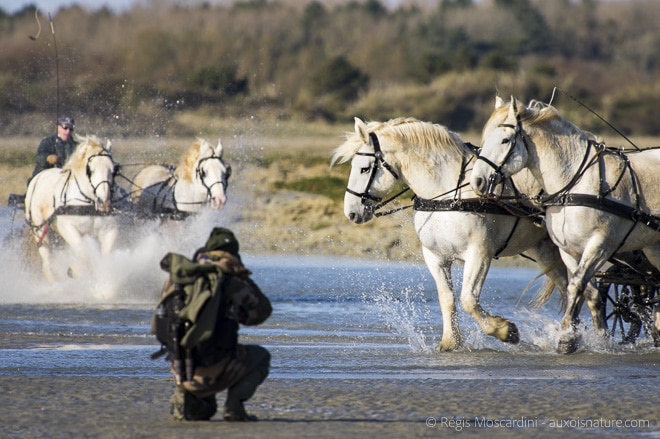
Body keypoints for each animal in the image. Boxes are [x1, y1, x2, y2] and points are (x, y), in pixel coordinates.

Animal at [24, 136, 118, 284]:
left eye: (113, 169)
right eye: (91, 170)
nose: (105, 203)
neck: (89, 203)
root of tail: (39, 176)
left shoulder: (109, 230)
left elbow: (106, 256)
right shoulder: (68, 228)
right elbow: (83, 253)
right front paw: (76, 272)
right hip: (39, 228)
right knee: (46, 259)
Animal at [332, 117, 568, 350]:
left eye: (364, 169)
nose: (351, 212)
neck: (448, 195)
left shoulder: (479, 253)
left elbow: (468, 300)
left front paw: (503, 330)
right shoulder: (436, 257)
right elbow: (447, 299)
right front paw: (450, 341)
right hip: (545, 251)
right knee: (566, 286)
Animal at [470, 97, 660, 354]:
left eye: (505, 140)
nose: (477, 181)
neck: (576, 184)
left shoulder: (600, 245)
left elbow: (576, 285)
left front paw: (567, 338)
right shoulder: (569, 250)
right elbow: (588, 292)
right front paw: (599, 337)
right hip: (653, 248)